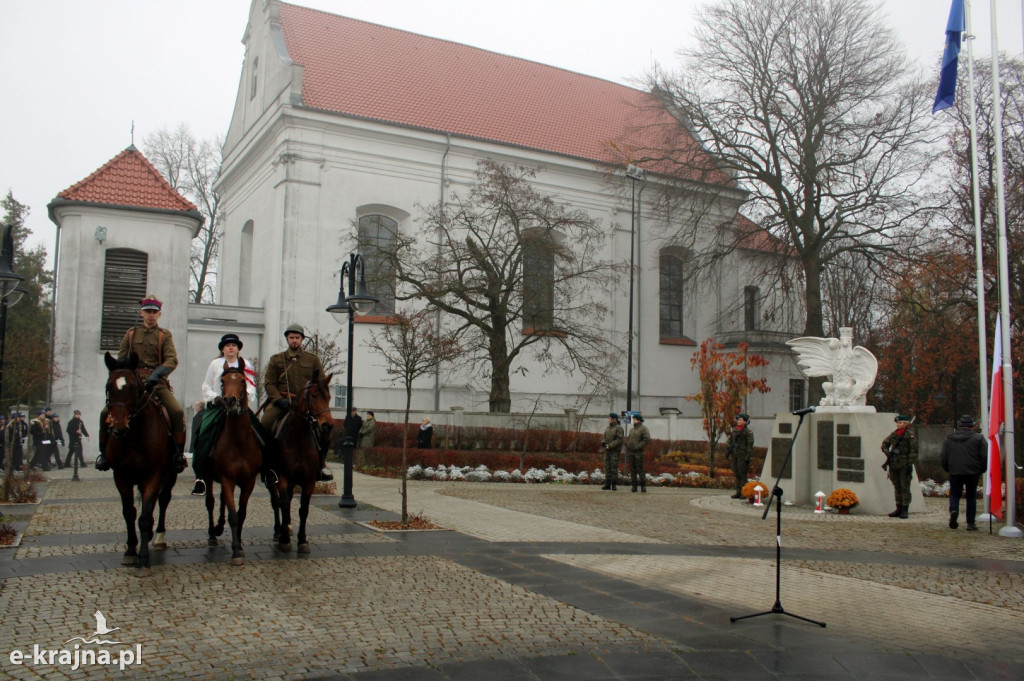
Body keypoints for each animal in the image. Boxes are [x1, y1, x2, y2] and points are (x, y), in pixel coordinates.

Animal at [102, 348, 179, 577]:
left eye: (134, 387)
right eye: (109, 386)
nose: (119, 428)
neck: (134, 436)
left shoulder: (153, 475)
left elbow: (144, 517)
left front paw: (143, 560)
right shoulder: (121, 476)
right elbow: (130, 513)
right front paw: (130, 551)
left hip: (170, 474)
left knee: (163, 500)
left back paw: (159, 536)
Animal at [204, 358, 262, 565]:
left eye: (243, 381)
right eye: (222, 382)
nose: (230, 401)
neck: (238, 442)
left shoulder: (248, 481)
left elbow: (241, 514)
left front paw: (241, 546)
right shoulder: (227, 478)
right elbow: (233, 516)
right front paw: (236, 551)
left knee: (221, 500)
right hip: (208, 477)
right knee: (211, 502)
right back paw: (213, 534)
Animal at [270, 368, 333, 548]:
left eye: (329, 397)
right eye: (314, 395)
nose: (328, 425)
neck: (298, 438)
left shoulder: (309, 481)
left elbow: (303, 509)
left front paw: (302, 539)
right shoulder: (282, 478)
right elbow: (283, 504)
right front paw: (284, 538)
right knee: (276, 502)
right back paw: (278, 531)